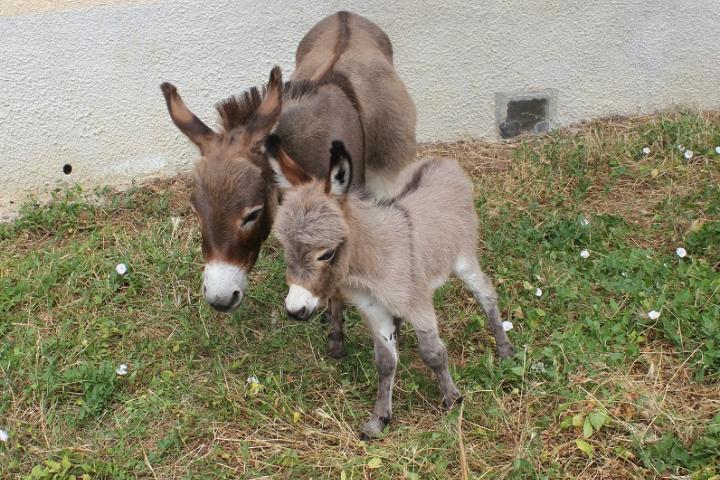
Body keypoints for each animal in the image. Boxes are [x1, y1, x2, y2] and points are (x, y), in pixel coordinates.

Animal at [268, 140, 512, 438]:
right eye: (285, 248)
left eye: (326, 254)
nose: (295, 310)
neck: (369, 264)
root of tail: (443, 161)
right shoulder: (373, 309)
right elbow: (384, 362)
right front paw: (379, 420)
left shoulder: (418, 304)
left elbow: (433, 354)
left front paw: (453, 399)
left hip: (464, 259)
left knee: (486, 293)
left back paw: (504, 350)